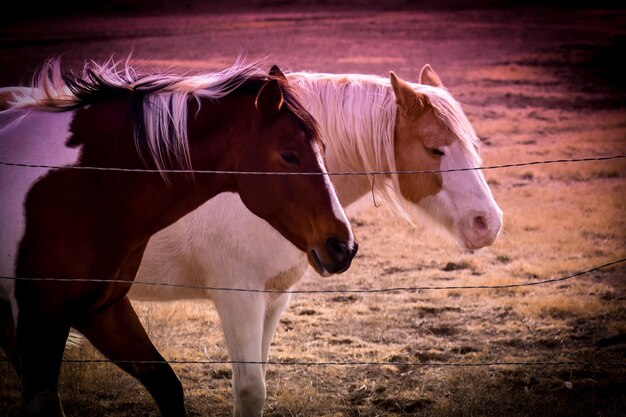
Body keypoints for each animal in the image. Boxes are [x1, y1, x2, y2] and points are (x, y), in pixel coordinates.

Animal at [0, 59, 356, 416]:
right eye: (289, 155)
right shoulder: (40, 318)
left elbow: (166, 383)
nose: (344, 246)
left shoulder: (101, 310)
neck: (87, 186)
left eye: (324, 149)